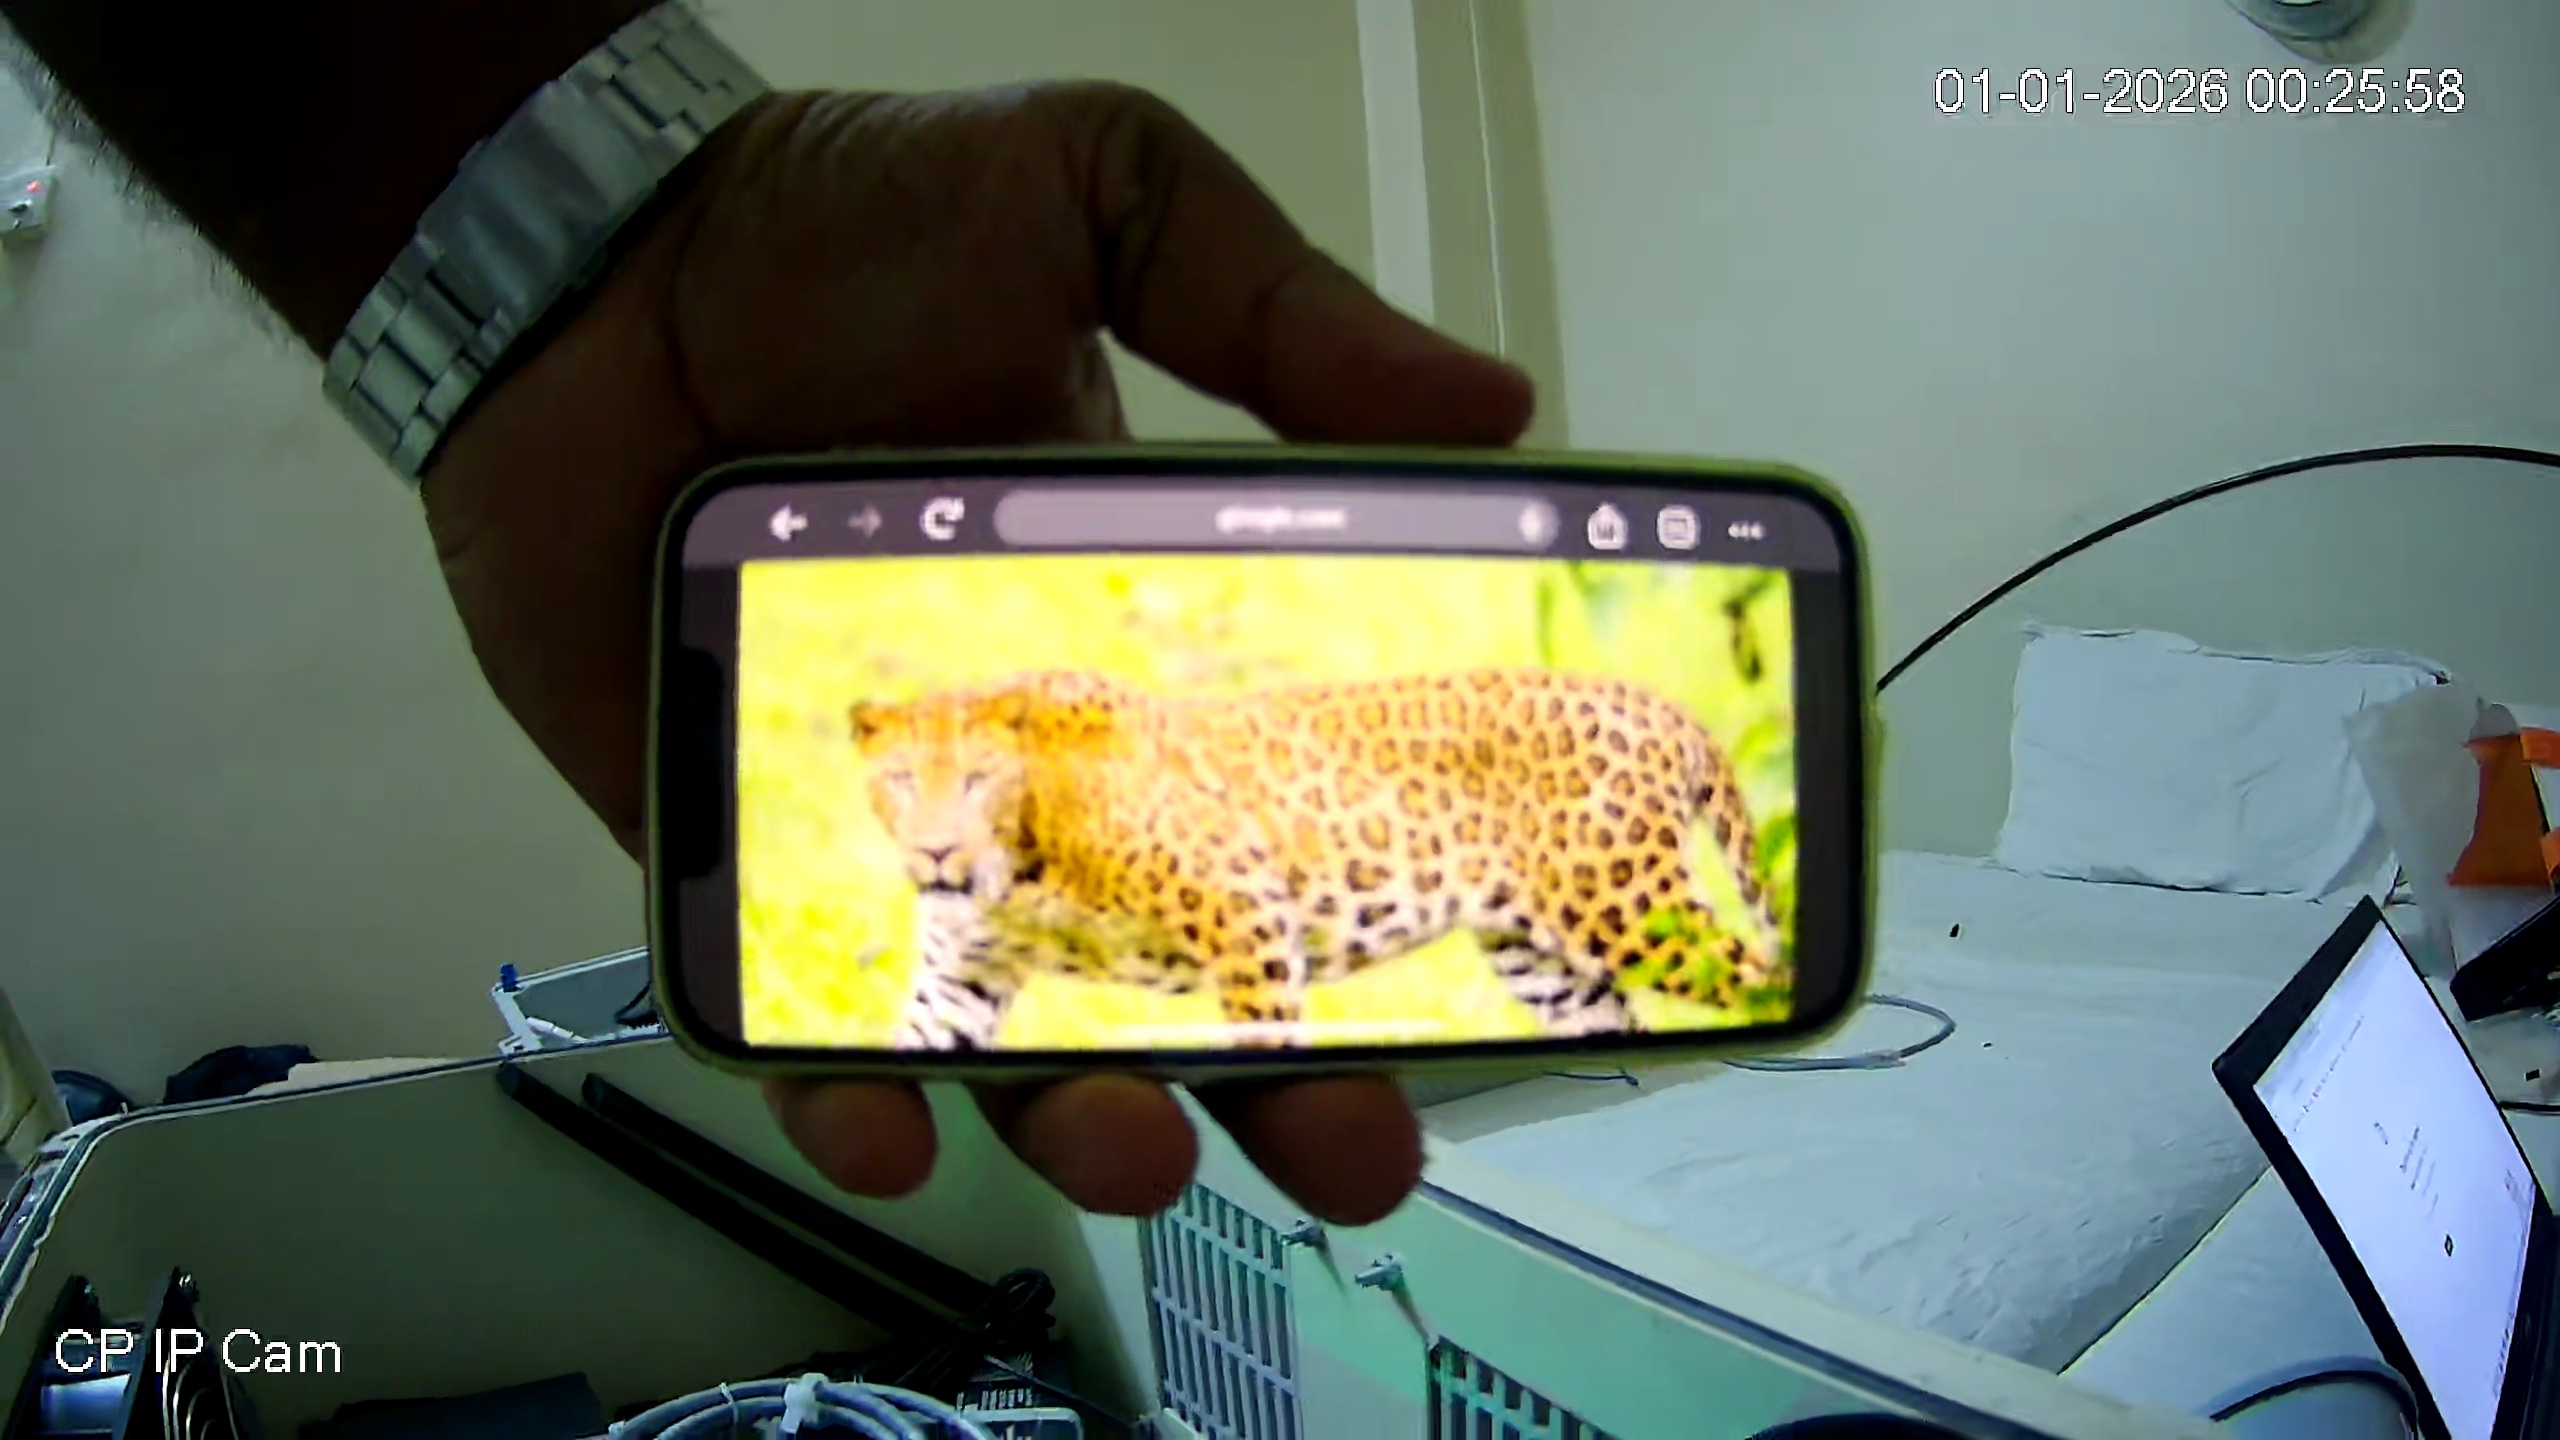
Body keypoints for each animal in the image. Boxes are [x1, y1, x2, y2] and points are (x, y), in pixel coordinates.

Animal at [846, 668, 1782, 1051]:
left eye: (977, 780)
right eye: (899, 780)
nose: (935, 850)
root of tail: (1664, 710)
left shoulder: (1246, 920)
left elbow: (1267, 1036)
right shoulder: (957, 980)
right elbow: (919, 1042)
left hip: (1631, 909)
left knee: (1763, 974)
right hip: (1544, 958)